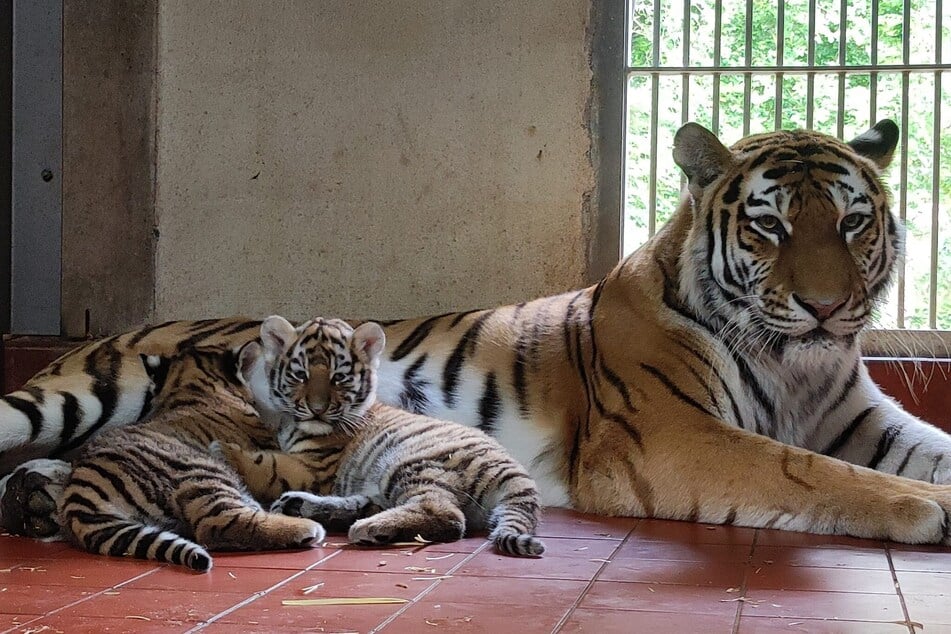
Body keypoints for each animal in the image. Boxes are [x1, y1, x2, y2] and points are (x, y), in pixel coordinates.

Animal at [1, 119, 951, 544]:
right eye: (770, 227)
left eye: (852, 222)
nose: (827, 308)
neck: (799, 366)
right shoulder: (667, 436)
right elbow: (809, 472)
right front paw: (928, 511)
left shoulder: (859, 420)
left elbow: (907, 452)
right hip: (76, 395)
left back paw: (36, 499)